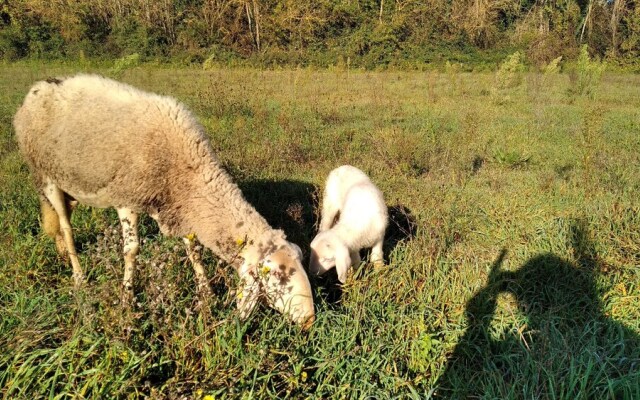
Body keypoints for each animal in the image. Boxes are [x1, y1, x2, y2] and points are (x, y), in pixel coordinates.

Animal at [13, 74, 316, 328]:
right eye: (276, 275)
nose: (310, 321)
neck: (184, 172)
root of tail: (38, 88)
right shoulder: (128, 198)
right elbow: (131, 250)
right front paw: (127, 299)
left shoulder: (182, 208)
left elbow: (193, 248)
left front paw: (206, 292)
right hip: (45, 174)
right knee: (66, 225)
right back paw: (78, 276)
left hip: (71, 184)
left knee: (58, 220)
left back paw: (62, 252)